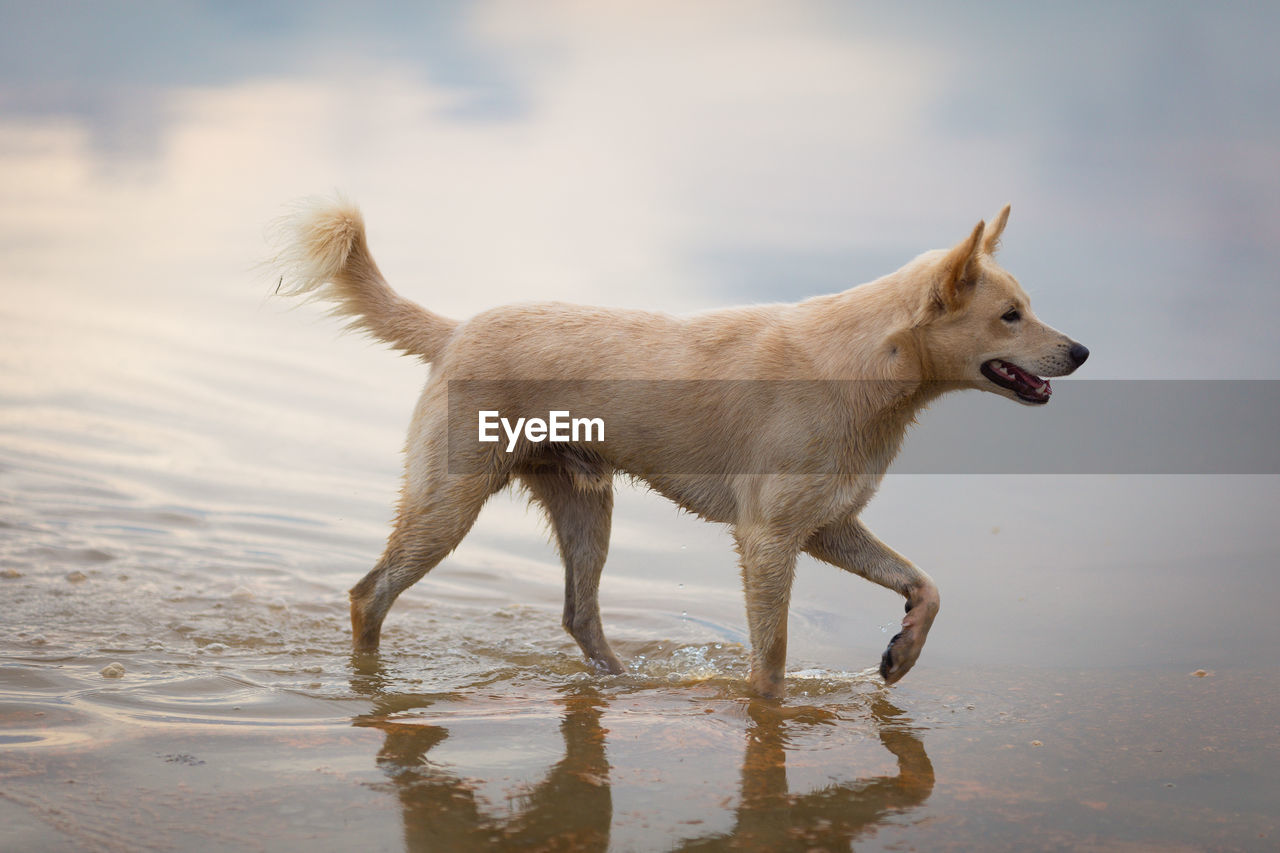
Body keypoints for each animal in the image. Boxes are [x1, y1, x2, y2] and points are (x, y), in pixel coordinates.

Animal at [275, 201, 1085, 696]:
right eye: (1011, 315)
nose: (1080, 351)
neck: (868, 363)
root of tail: (454, 330)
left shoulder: (827, 525)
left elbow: (927, 585)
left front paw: (902, 652)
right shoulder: (769, 539)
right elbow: (772, 660)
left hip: (585, 505)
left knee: (579, 615)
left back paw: (625, 682)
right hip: (448, 503)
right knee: (368, 592)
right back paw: (371, 681)